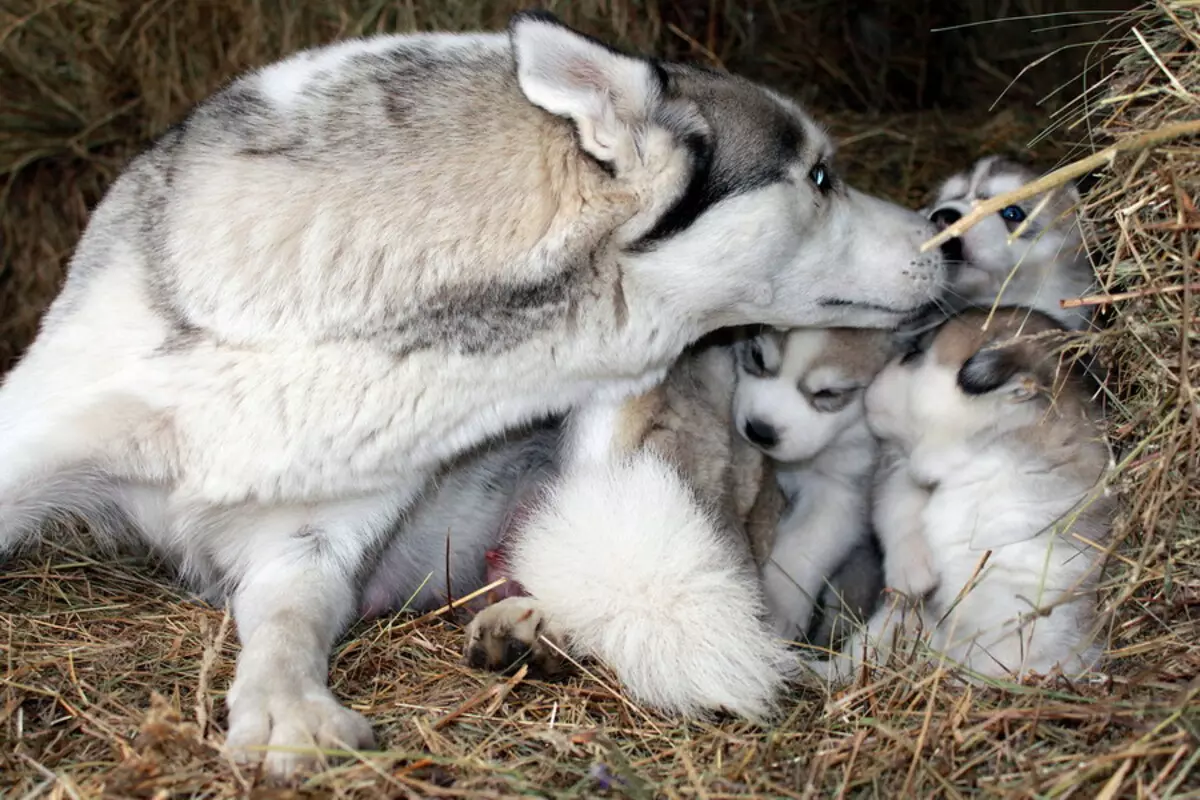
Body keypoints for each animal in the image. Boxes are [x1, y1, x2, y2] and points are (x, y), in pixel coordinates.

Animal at [0, 10, 940, 777]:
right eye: (819, 178)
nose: (941, 230)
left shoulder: (313, 547)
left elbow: (287, 629)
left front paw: (287, 710)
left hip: (620, 440)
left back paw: (534, 631)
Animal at [806, 309, 1113, 686]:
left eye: (913, 356)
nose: (874, 378)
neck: (974, 458)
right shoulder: (899, 470)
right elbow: (901, 505)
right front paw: (912, 577)